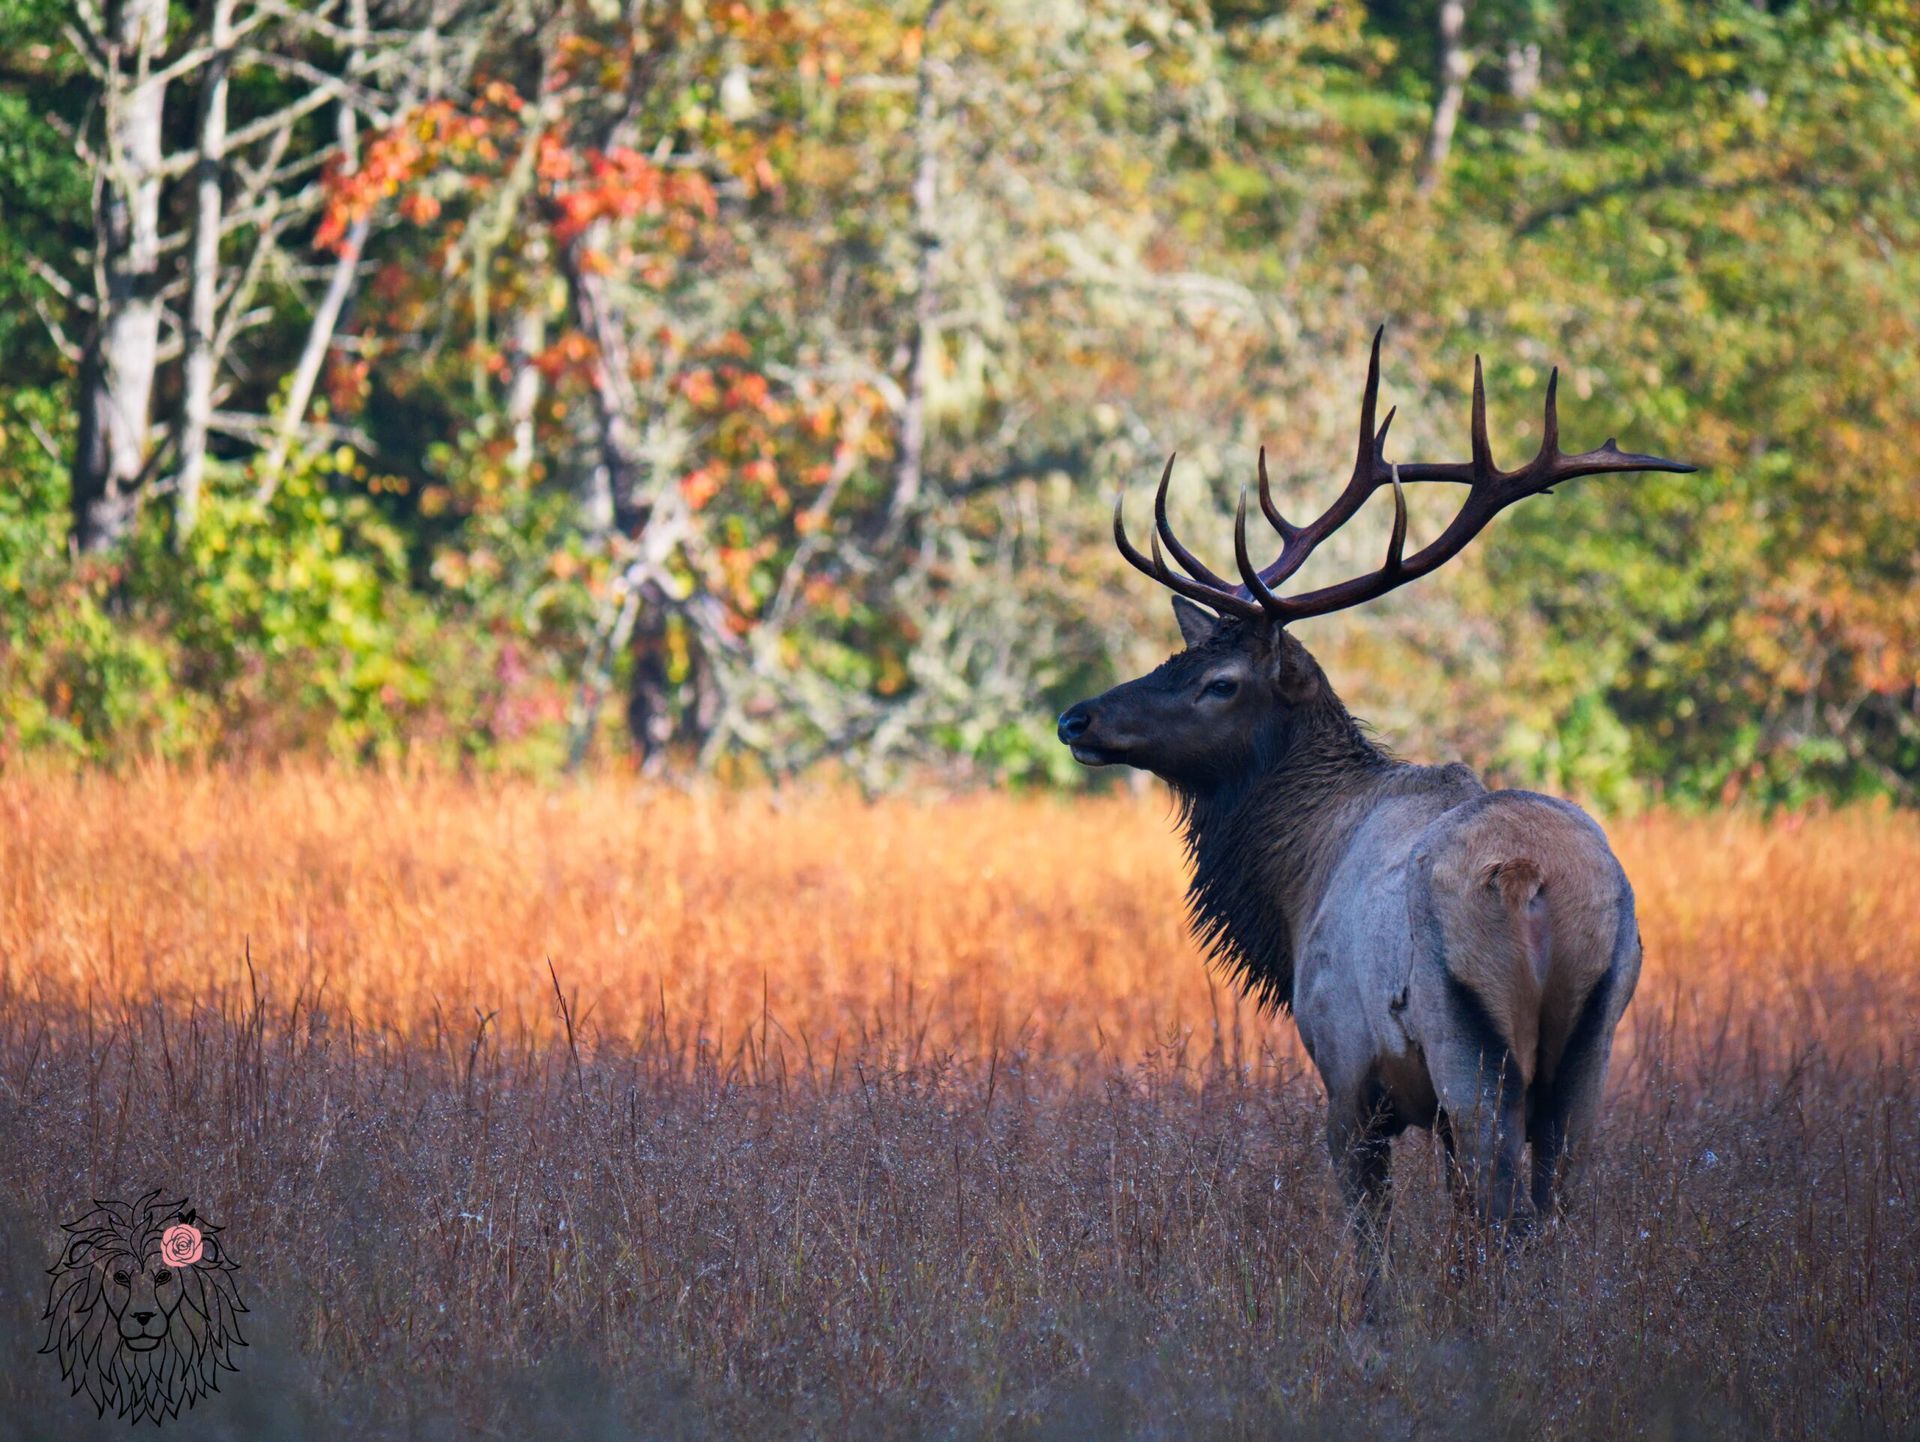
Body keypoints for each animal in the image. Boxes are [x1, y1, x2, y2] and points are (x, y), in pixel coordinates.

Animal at [1055, 329, 1693, 1303]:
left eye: (1218, 682)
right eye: (1175, 654)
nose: (1077, 719)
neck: (1293, 889)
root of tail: (1536, 881)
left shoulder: (1350, 1077)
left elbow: (1372, 1258)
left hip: (1470, 1044)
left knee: (1502, 1211)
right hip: (1594, 1037)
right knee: (1557, 1207)